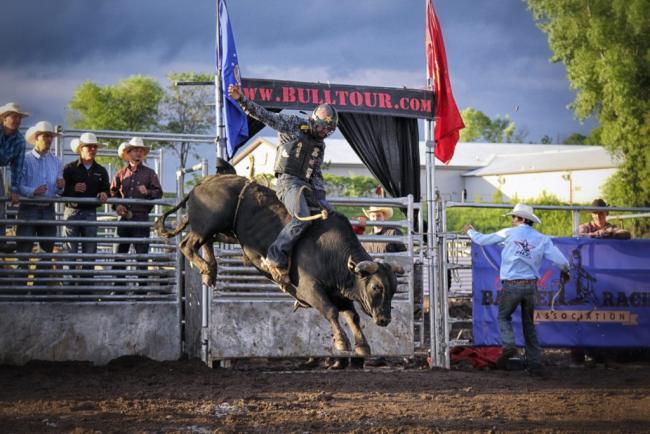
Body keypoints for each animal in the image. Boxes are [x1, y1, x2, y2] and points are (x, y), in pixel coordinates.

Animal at [154, 175, 402, 354]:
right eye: (376, 287)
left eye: (394, 289)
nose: (385, 319)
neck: (332, 254)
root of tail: (202, 183)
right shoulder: (309, 289)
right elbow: (331, 311)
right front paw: (342, 342)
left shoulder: (340, 293)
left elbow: (353, 316)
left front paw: (362, 346)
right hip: (207, 224)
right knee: (187, 244)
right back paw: (206, 268)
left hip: (222, 230)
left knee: (207, 242)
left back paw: (211, 271)